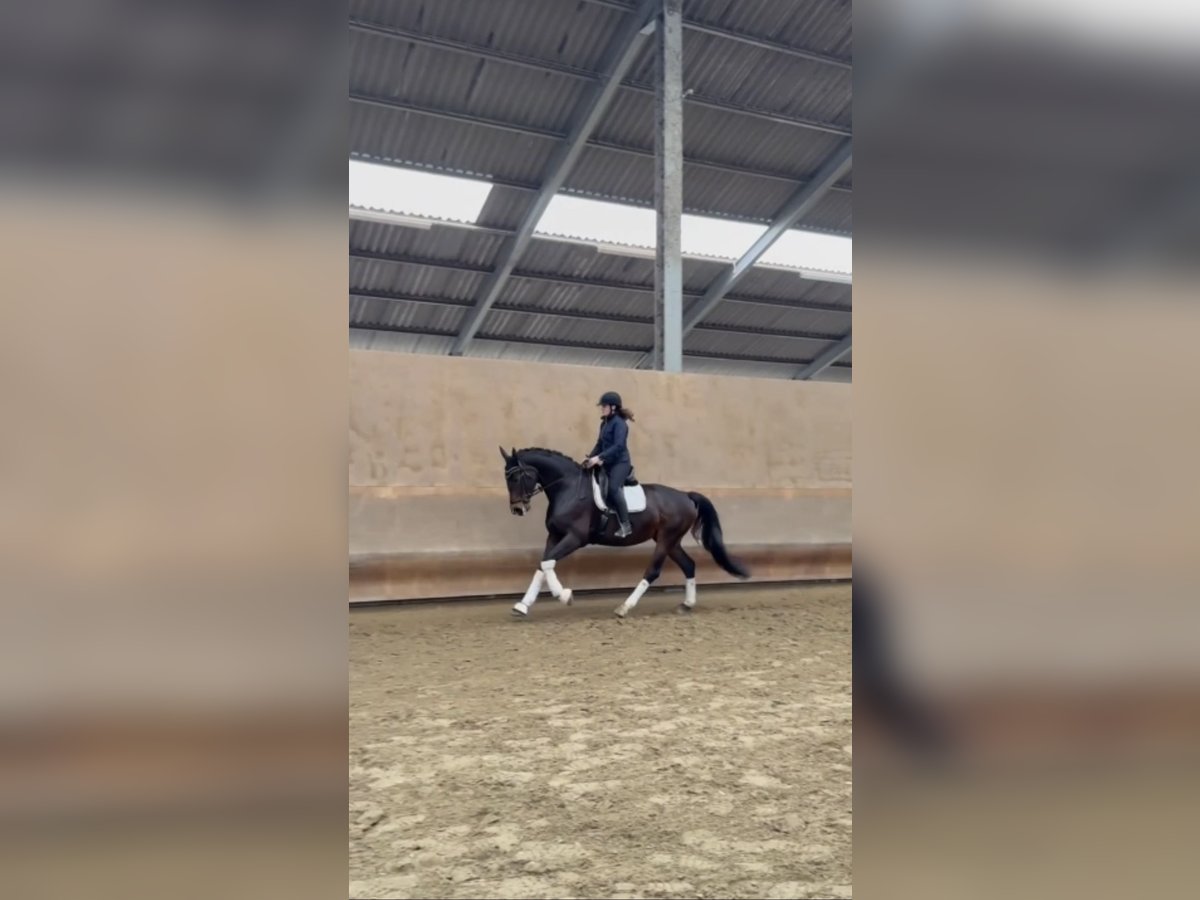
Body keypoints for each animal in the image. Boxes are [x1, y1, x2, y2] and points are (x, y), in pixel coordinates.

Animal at [499, 446, 750, 618]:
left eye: (517, 476)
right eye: (507, 477)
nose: (517, 509)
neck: (568, 489)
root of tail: (686, 495)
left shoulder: (574, 538)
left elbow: (548, 562)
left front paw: (565, 596)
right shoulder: (555, 536)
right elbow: (542, 565)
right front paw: (522, 606)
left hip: (666, 539)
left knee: (652, 572)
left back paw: (624, 607)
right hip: (671, 541)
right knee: (688, 565)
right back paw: (686, 605)